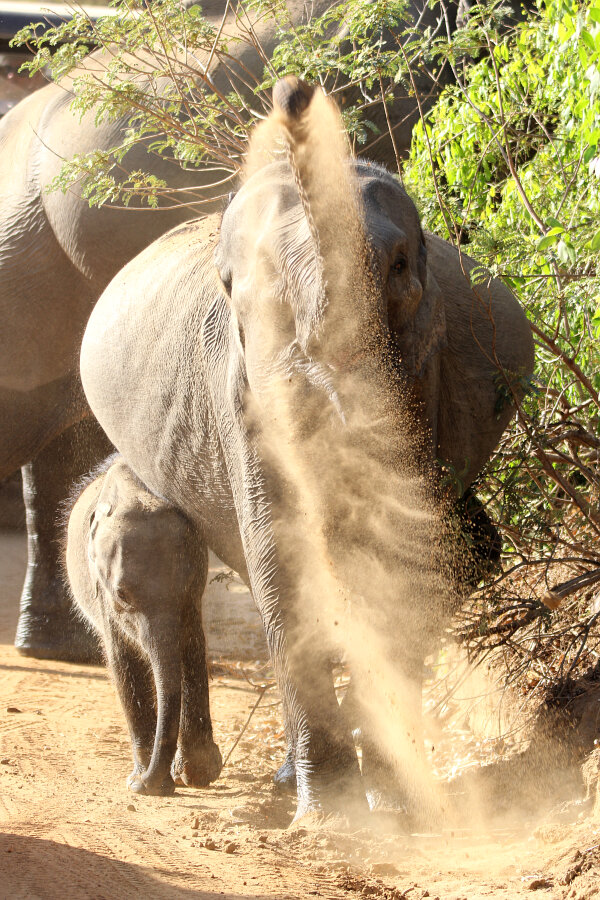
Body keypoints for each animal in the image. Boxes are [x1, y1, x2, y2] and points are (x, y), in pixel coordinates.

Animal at [65, 454, 222, 794]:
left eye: (188, 586)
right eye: (122, 594)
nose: (147, 785)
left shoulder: (191, 601)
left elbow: (192, 648)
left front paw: (196, 774)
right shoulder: (104, 596)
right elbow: (123, 662)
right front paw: (143, 780)